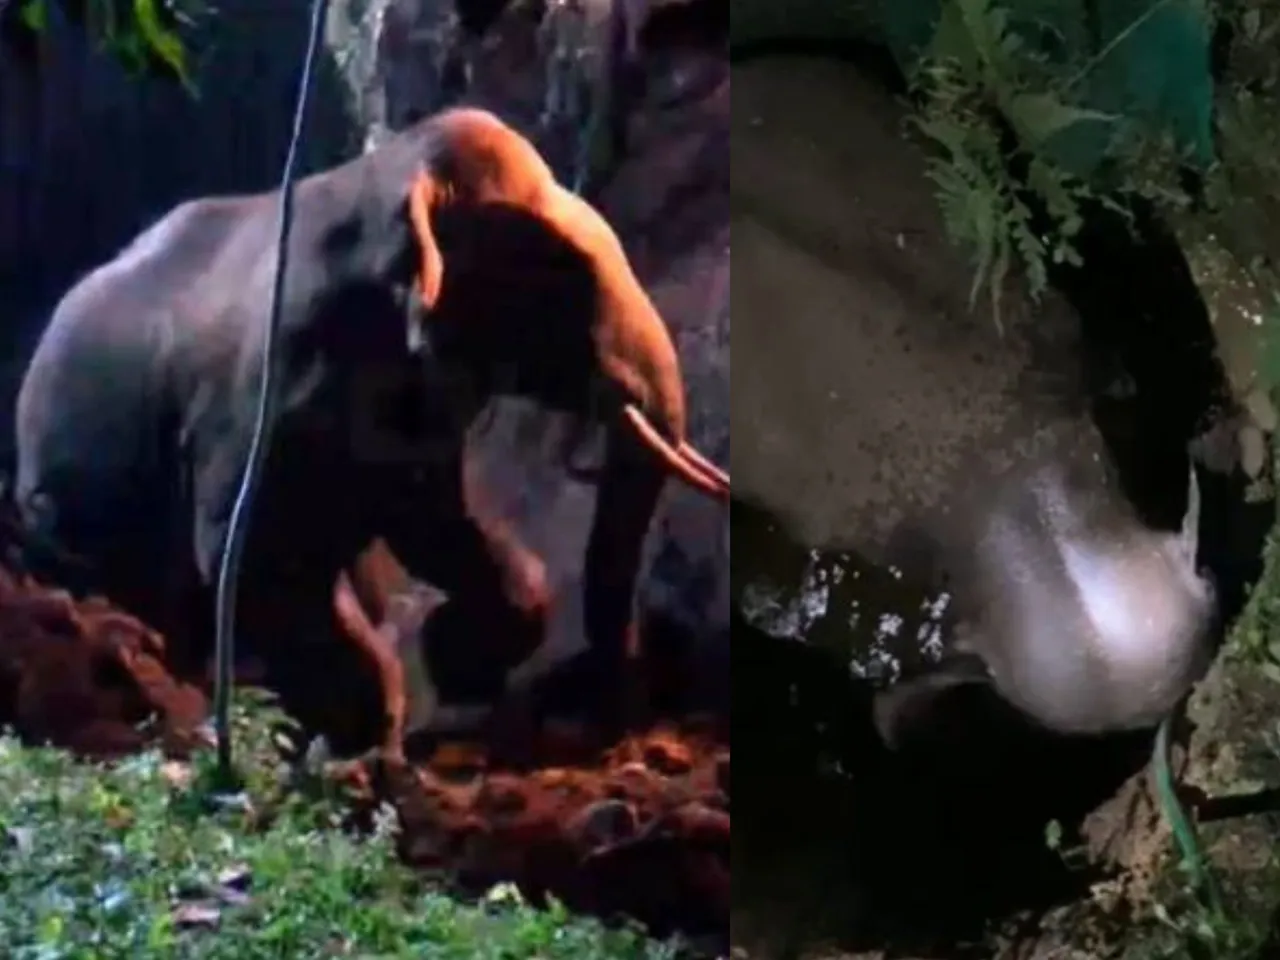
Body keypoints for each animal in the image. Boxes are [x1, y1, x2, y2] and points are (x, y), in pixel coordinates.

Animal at [13, 106, 730, 763]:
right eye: (568, 270)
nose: (605, 728)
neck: (392, 173)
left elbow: (439, 526)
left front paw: (456, 664)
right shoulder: (266, 397)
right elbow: (253, 557)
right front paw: (368, 742)